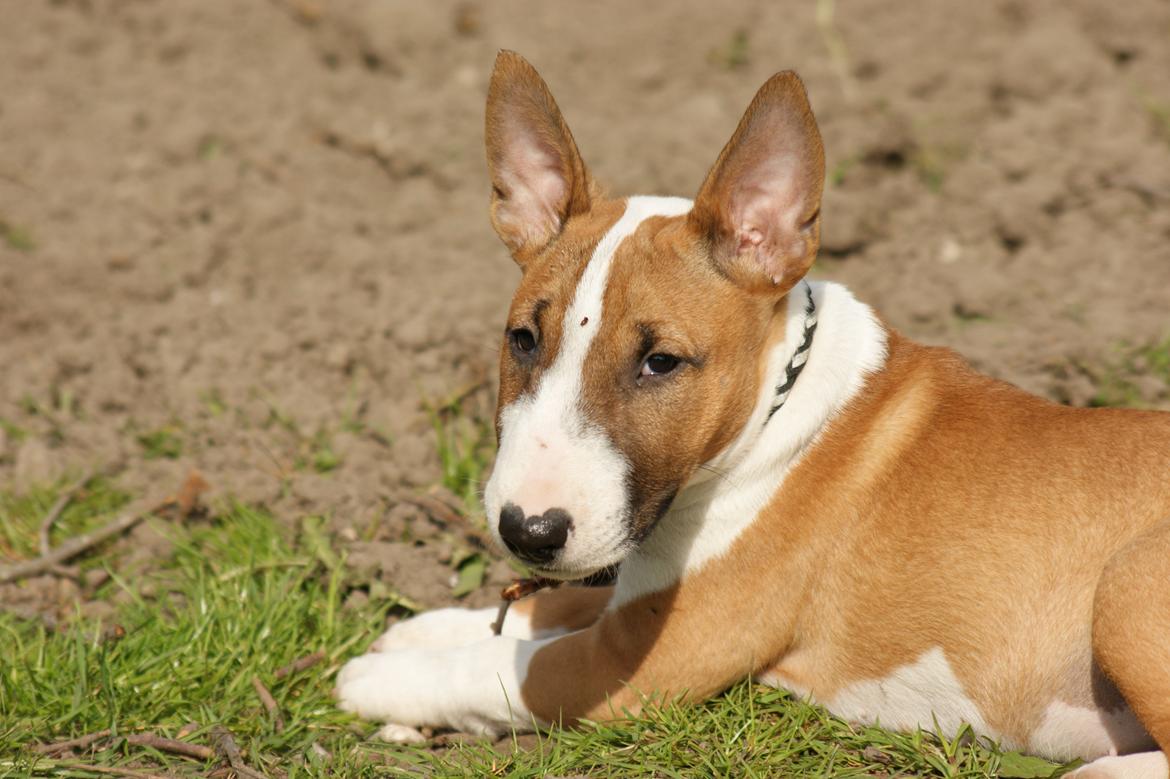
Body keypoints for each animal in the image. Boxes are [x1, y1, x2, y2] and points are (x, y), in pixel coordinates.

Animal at [339, 51, 1170, 771]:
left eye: (661, 362)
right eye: (522, 339)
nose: (527, 532)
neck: (779, 409)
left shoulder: (638, 659)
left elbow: (505, 667)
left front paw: (373, 679)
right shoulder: (636, 597)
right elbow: (554, 606)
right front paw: (422, 628)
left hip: (1127, 583)